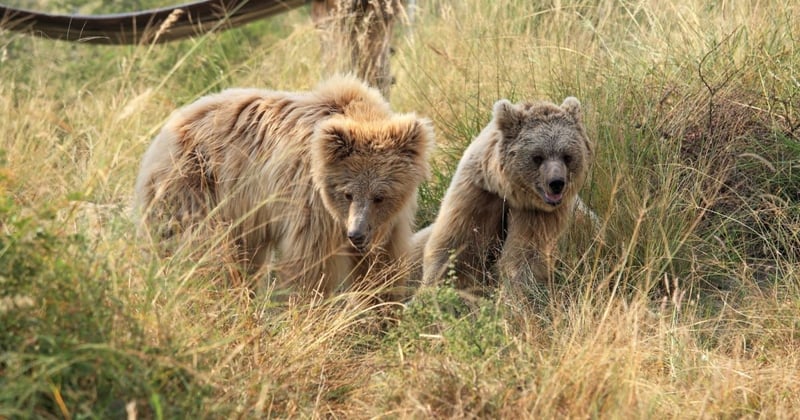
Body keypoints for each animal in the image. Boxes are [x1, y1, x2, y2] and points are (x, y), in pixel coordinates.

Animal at [134, 75, 434, 298]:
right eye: (347, 193)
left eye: (380, 196)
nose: (356, 234)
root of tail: (160, 138)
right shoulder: (311, 204)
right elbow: (310, 265)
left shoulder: (390, 223)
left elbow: (382, 267)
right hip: (196, 185)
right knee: (203, 249)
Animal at [418, 98, 592, 296]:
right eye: (537, 157)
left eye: (567, 156)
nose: (556, 183)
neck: (509, 192)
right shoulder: (478, 196)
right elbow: (455, 247)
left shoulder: (538, 214)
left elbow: (526, 257)